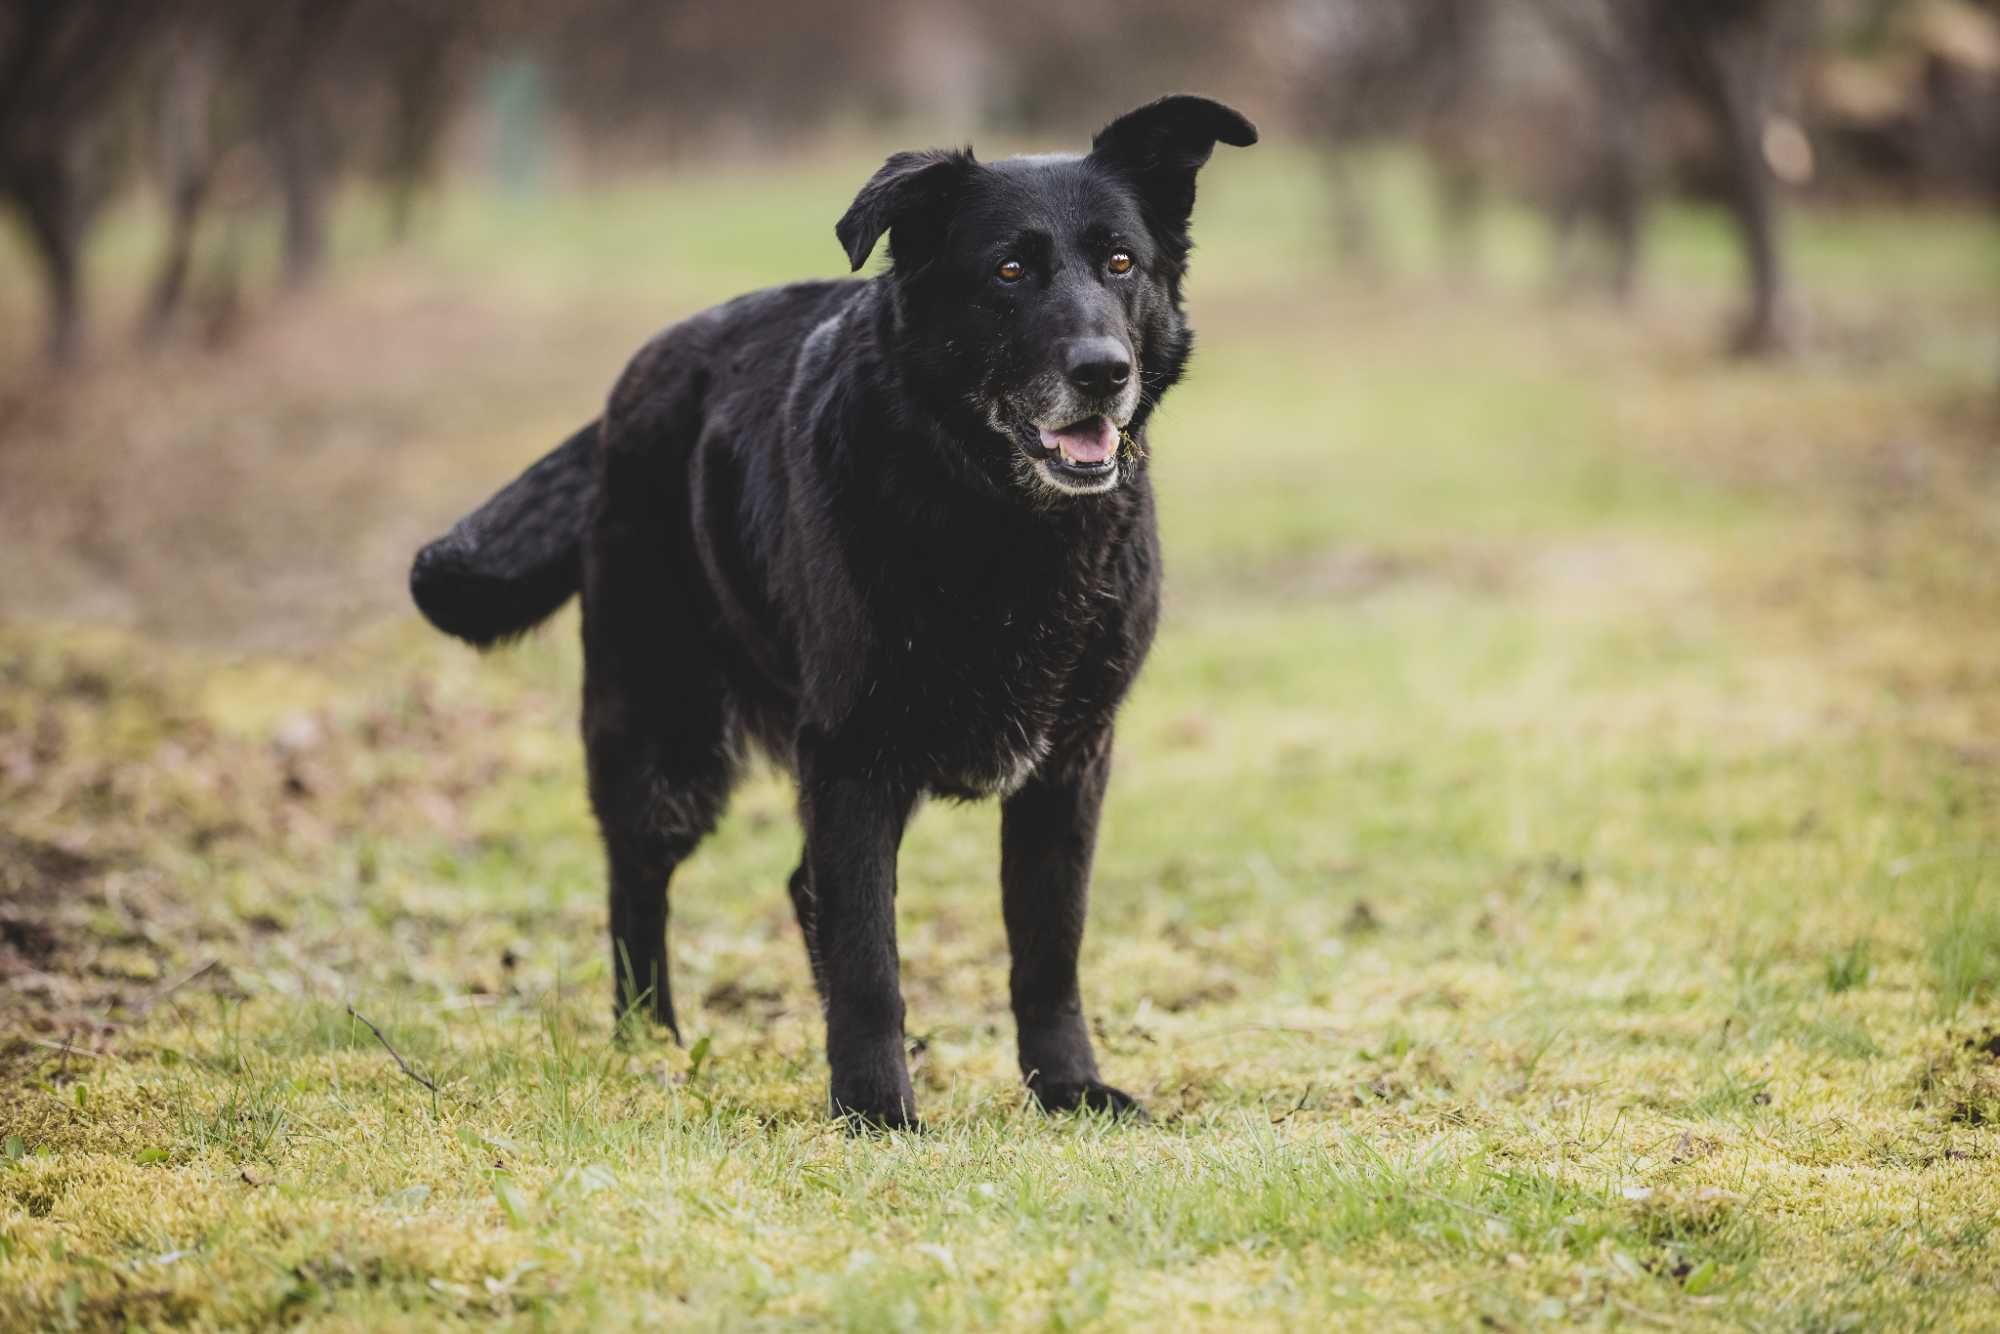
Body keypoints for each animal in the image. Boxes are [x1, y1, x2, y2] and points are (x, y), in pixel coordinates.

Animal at [406, 94, 1248, 1128]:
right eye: (1008, 270)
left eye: (1121, 262)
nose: (1103, 370)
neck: (995, 518)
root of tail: (630, 387)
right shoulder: (851, 757)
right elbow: (868, 957)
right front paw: (878, 1110)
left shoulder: (1070, 764)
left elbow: (1048, 944)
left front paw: (1067, 1087)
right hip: (664, 739)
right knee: (641, 884)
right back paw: (650, 1042)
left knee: (799, 886)